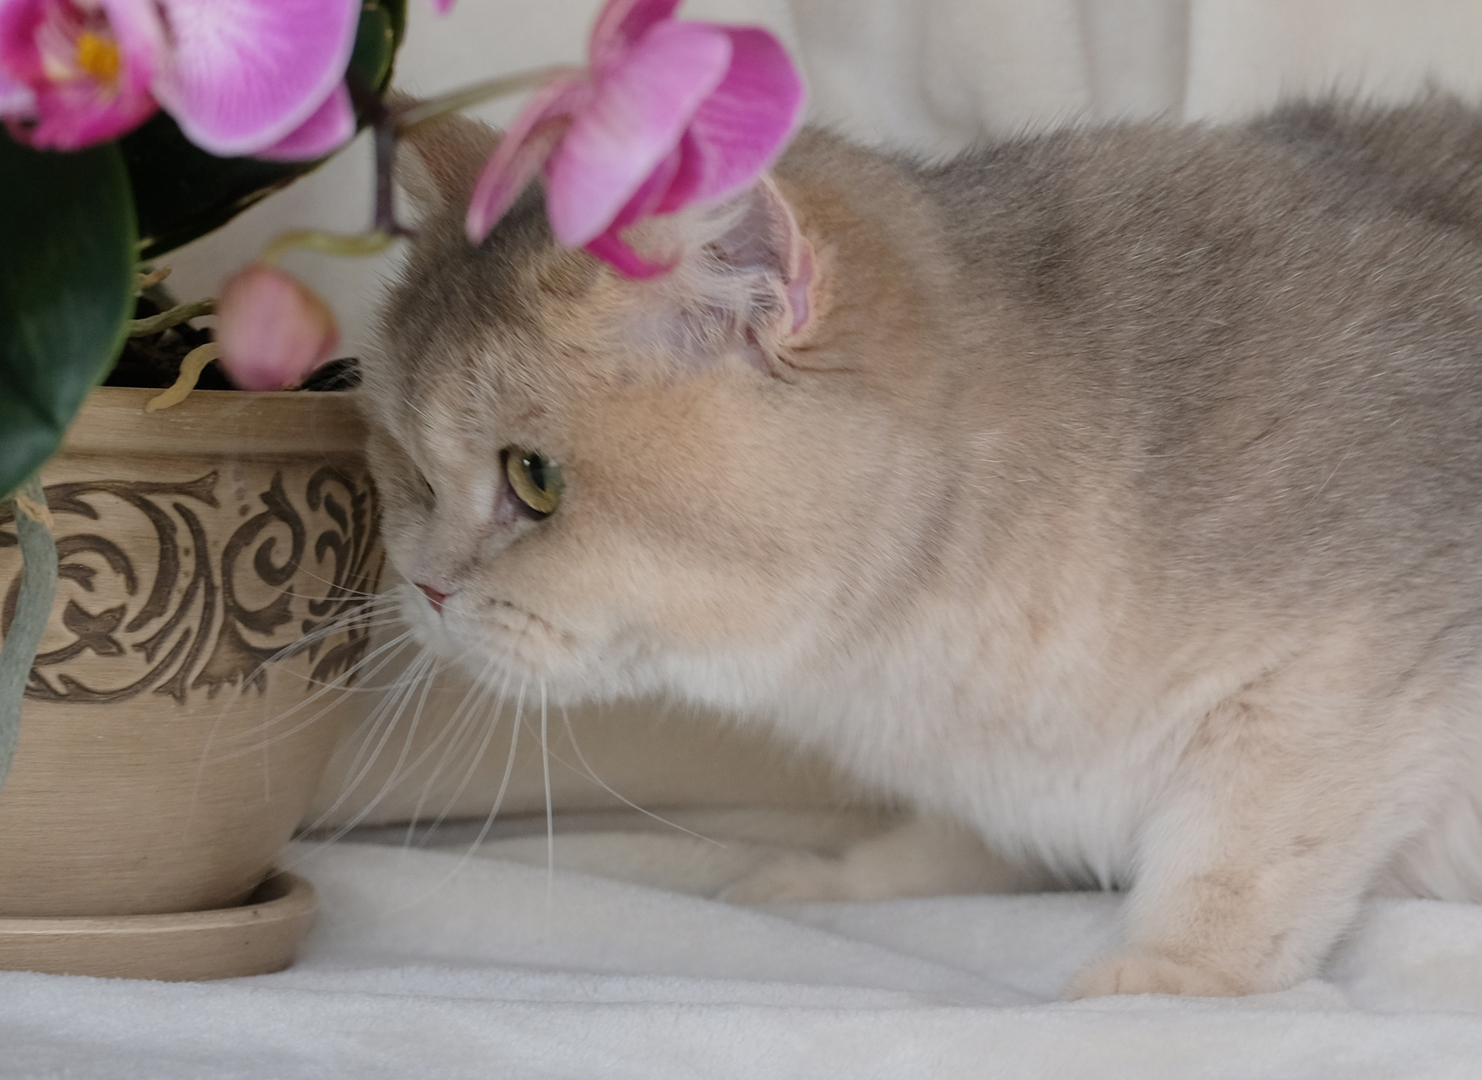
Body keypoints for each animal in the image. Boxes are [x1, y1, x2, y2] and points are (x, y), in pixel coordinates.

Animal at [361, 97, 1482, 995]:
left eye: (534, 481)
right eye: (407, 466)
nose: (424, 588)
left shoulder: (1340, 680)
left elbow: (1243, 856)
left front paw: (1166, 980)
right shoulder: (1007, 774)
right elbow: (959, 839)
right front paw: (842, 879)